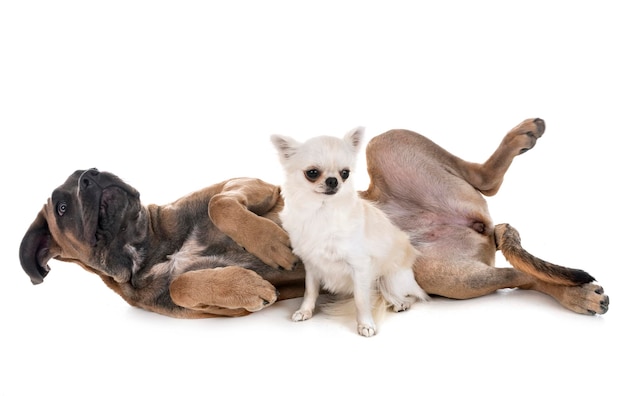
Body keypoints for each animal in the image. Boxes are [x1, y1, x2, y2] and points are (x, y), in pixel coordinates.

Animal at [18, 118, 604, 318]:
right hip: (447, 276)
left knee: (487, 179)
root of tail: (476, 225)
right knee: (519, 277)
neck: (149, 243)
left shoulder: (253, 188)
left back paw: (520, 136)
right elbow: (186, 285)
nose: (91, 175)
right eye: (62, 205)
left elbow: (222, 205)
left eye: (82, 180)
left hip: (389, 144)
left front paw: (271, 245)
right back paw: (576, 294)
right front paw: (244, 286)